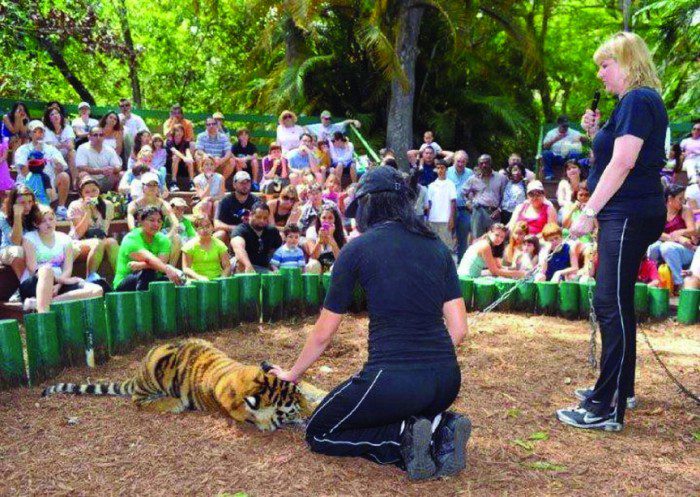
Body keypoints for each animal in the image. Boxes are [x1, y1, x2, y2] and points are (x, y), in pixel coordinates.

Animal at [41, 338, 327, 431]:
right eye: (292, 409)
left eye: (300, 399)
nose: (311, 415)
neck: (254, 382)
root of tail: (140, 368)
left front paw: (320, 394)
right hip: (154, 376)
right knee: (138, 401)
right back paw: (175, 403)